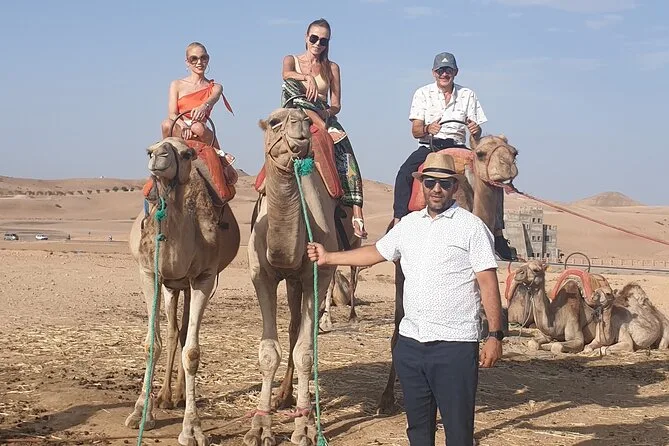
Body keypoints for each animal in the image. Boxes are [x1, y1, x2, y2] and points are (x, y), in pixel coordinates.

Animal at [125, 137, 240, 446]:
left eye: (187, 153)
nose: (158, 155)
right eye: (149, 148)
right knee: (173, 331)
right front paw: (141, 413)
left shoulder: (204, 278)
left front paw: (192, 429)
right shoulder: (150, 273)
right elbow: (152, 344)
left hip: (187, 285)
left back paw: (176, 396)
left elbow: (192, 352)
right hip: (171, 286)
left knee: (184, 330)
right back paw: (163, 397)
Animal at [245, 108, 338, 446]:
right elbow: (268, 352)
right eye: (274, 122)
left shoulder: (317, 275)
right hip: (291, 281)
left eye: (306, 122)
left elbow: (306, 353)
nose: (300, 125)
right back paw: (283, 397)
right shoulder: (262, 275)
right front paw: (260, 427)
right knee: (293, 327)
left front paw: (304, 428)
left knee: (301, 333)